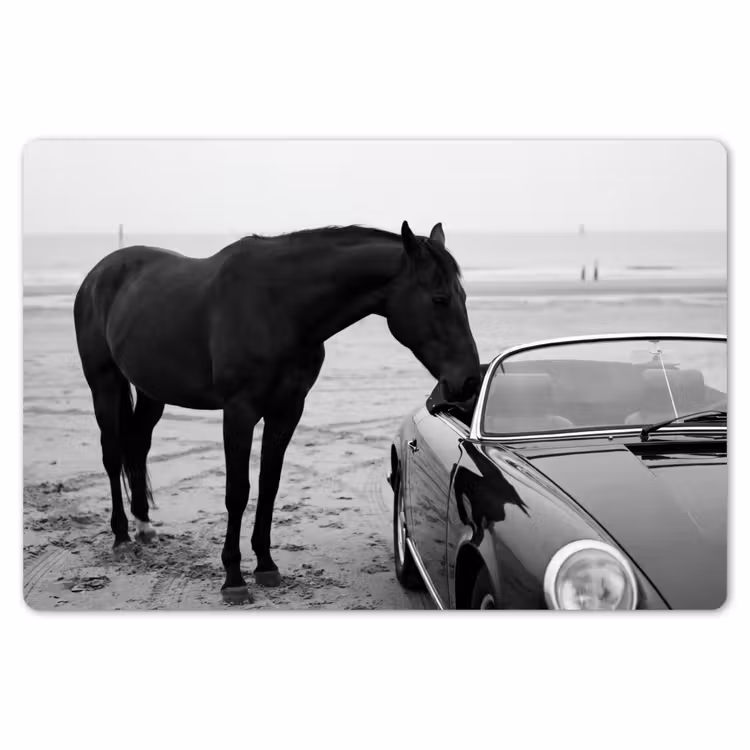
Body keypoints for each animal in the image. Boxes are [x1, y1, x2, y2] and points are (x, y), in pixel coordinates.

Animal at [74, 221, 480, 603]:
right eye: (440, 298)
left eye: (463, 296)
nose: (469, 381)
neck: (279, 306)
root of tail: (99, 273)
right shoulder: (238, 412)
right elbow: (238, 491)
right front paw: (233, 579)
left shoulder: (286, 411)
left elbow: (269, 484)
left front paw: (266, 566)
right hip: (104, 384)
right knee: (112, 454)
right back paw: (121, 537)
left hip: (151, 391)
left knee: (138, 445)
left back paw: (143, 525)